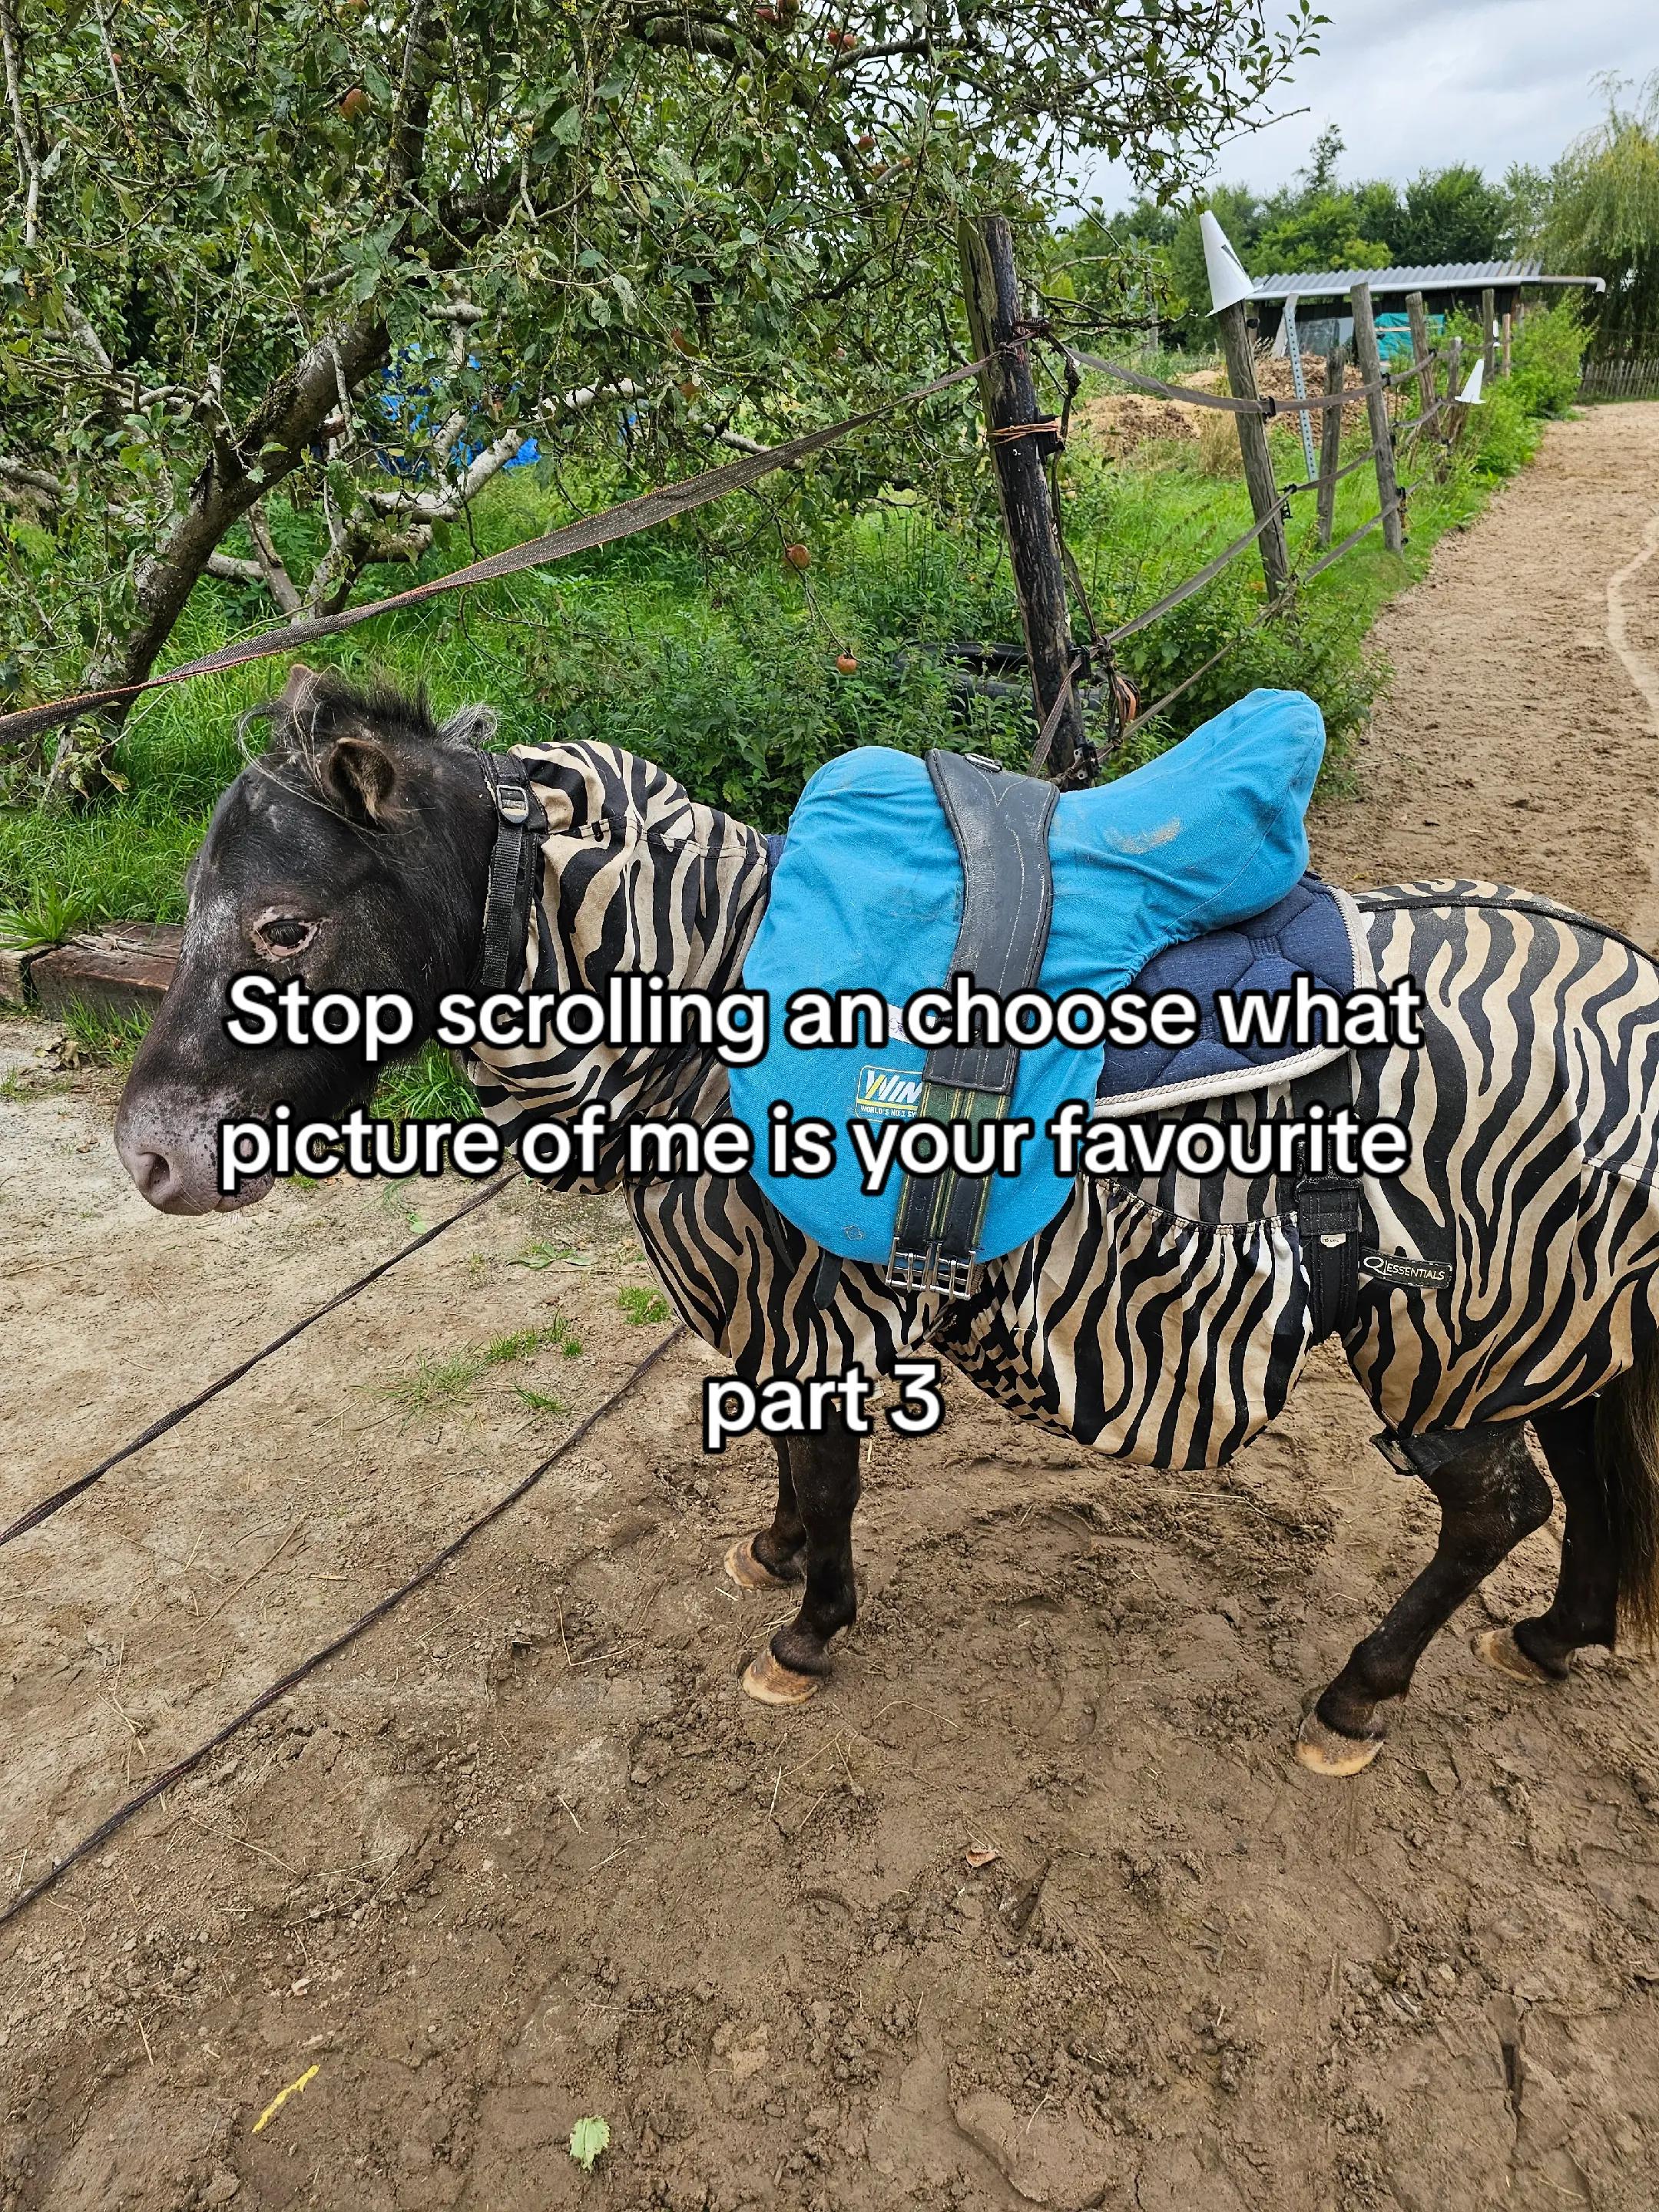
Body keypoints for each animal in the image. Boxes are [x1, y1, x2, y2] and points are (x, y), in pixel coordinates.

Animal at [114, 666, 1659, 1776]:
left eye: (283, 929)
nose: (149, 1157)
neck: (702, 996)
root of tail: (1628, 991)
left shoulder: (803, 1295)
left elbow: (830, 1471)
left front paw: (806, 1635)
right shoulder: (790, 1301)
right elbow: (796, 1469)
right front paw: (778, 1560)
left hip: (1451, 1338)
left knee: (1501, 1508)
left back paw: (1356, 1698)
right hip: (1563, 1321)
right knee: (1588, 1479)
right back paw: (1556, 1639)